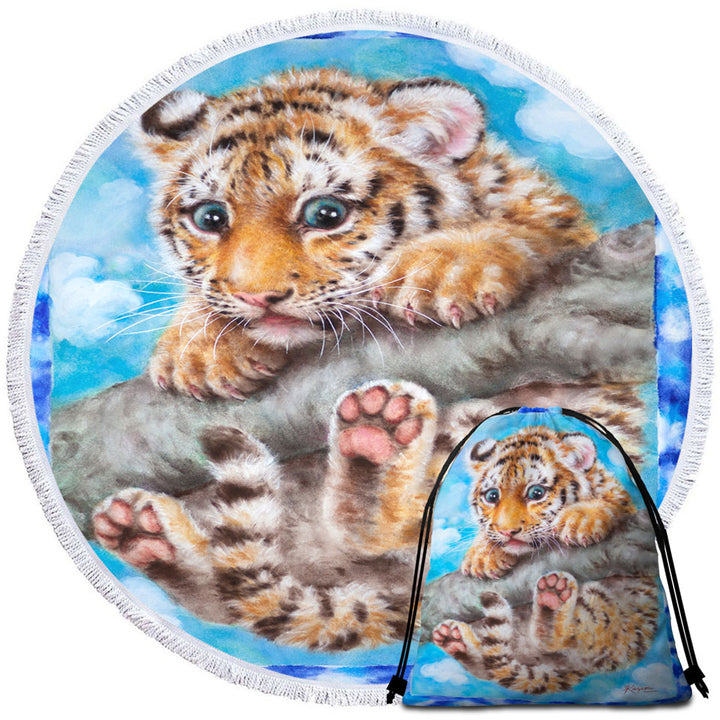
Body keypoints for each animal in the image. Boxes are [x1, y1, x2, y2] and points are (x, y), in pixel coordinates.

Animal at [136, 68, 597, 400]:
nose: (257, 297)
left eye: (326, 214)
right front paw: (197, 348)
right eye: (210, 218)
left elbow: (533, 230)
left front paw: (444, 271)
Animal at [432, 427, 659, 694]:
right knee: (494, 661)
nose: (508, 531)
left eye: (536, 493)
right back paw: (455, 639)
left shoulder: (623, 502)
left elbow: (610, 505)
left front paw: (580, 520)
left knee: (566, 636)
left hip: (611, 611)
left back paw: (552, 597)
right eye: (492, 496)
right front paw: (483, 556)